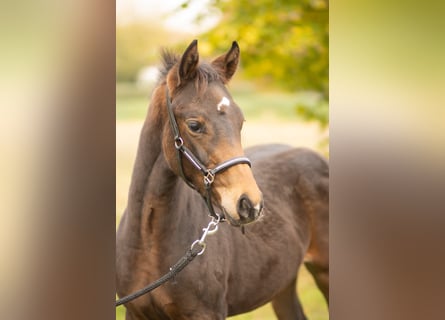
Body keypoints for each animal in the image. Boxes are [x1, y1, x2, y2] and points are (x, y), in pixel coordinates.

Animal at [116, 40, 328, 320]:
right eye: (194, 125)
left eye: (241, 122)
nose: (250, 204)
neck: (148, 243)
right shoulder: (135, 313)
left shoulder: (207, 313)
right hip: (283, 282)